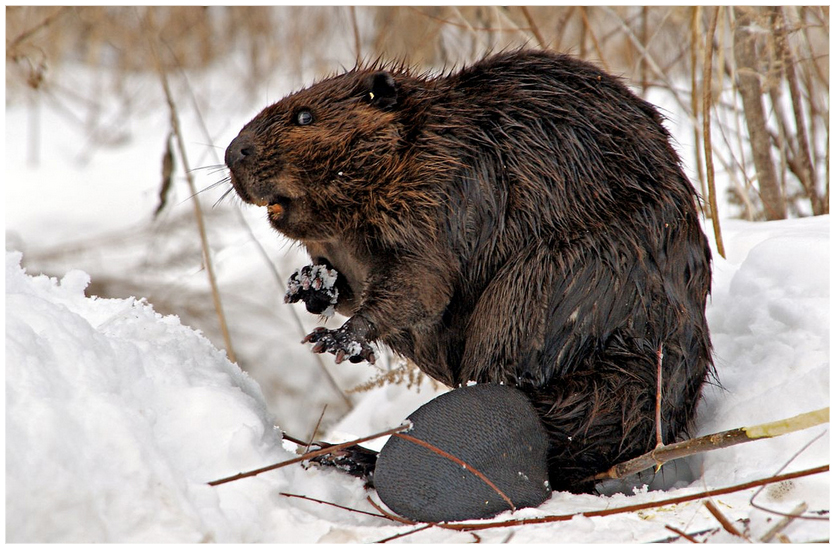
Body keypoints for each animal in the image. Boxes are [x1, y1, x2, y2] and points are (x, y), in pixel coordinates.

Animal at [227, 49, 712, 524]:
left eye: (304, 116)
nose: (234, 153)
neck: (428, 141)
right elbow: (352, 285)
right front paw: (310, 284)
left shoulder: (444, 197)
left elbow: (421, 285)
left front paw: (339, 339)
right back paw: (340, 455)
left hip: (555, 277)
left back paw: (353, 456)